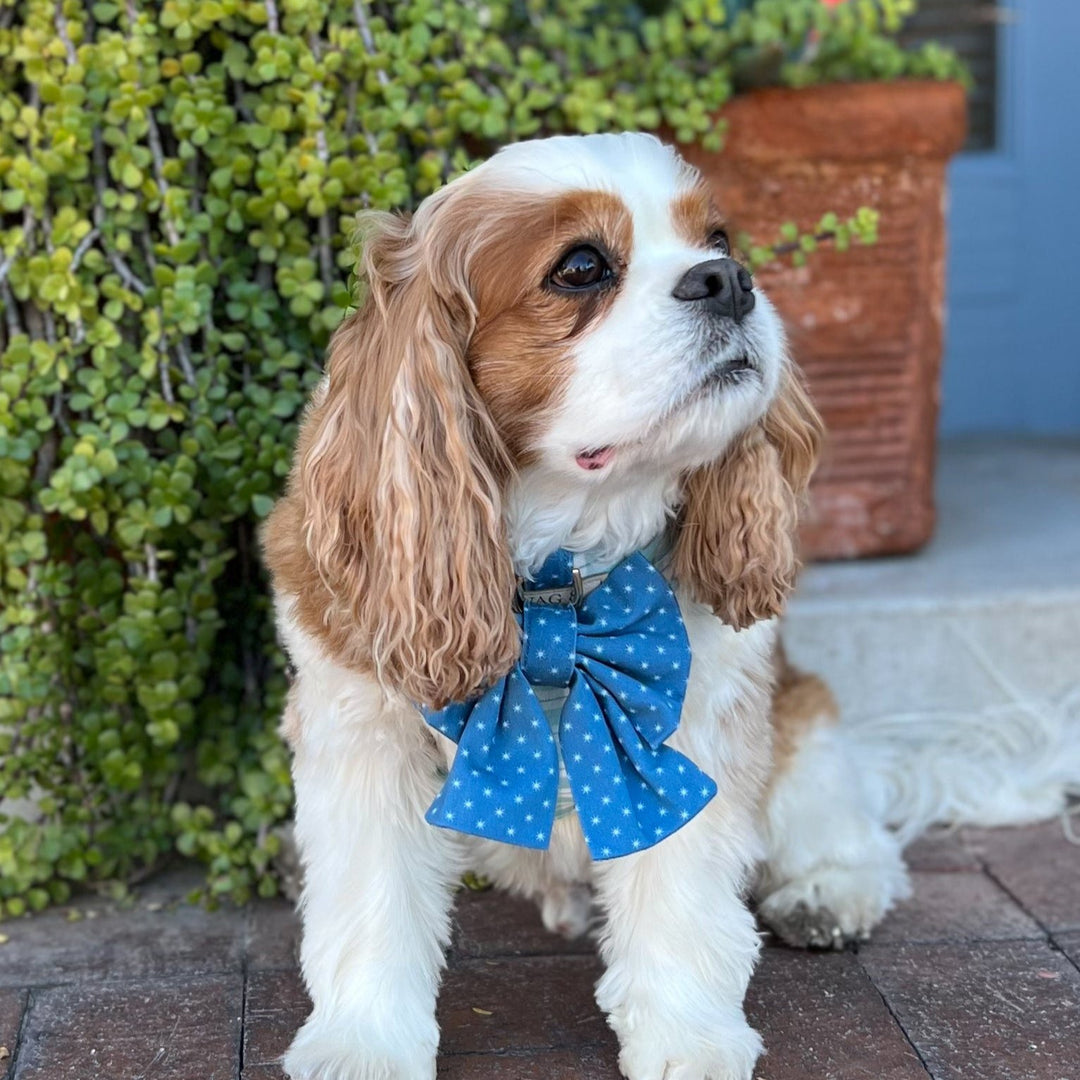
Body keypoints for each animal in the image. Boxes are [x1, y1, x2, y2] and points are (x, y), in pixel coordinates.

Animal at [261, 135, 911, 1080]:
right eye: (580, 267)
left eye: (719, 237)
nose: (728, 278)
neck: (558, 586)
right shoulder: (364, 734)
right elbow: (370, 902)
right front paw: (362, 1043)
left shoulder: (688, 724)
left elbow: (682, 898)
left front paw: (688, 1037)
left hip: (801, 718)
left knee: (848, 827)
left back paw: (829, 890)